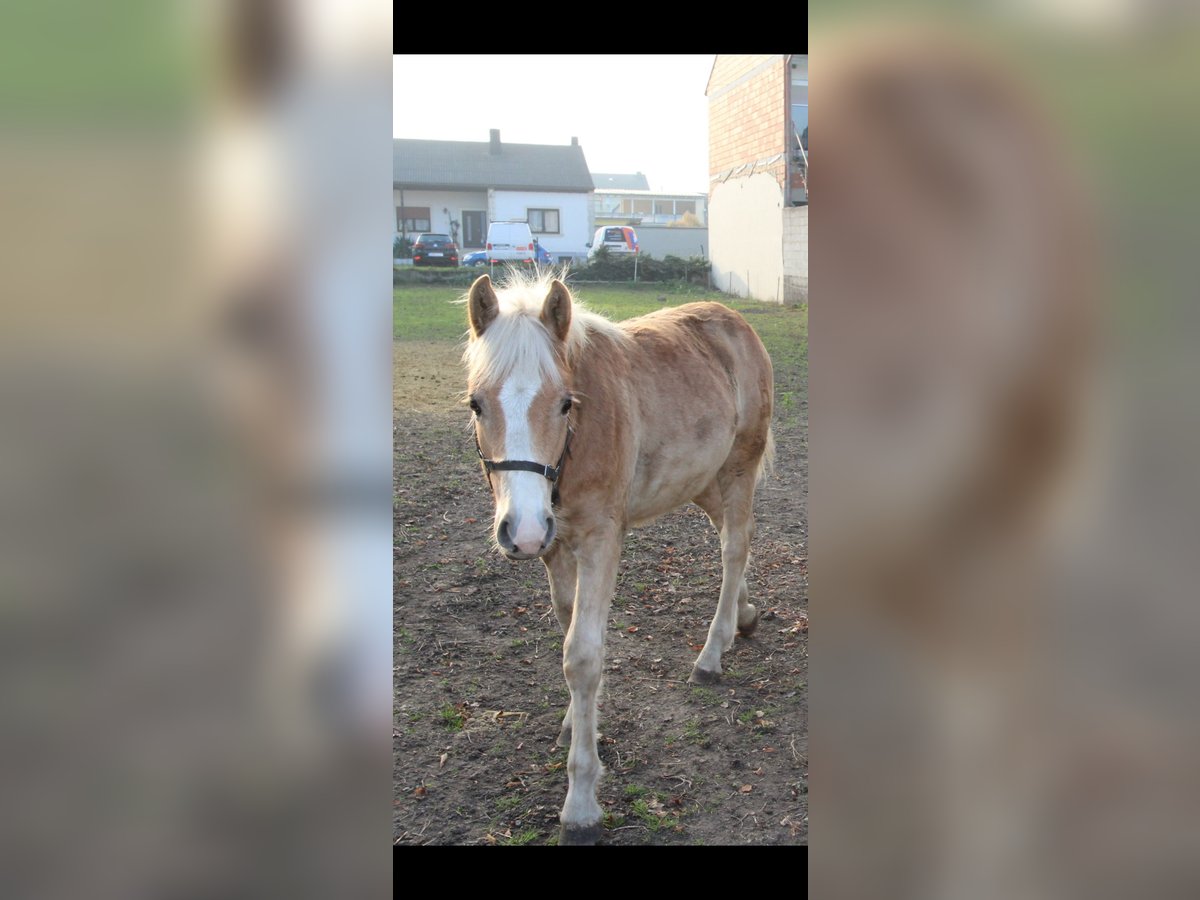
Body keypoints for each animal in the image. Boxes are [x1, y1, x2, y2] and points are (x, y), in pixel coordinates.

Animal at [458, 273, 777, 844]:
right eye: (476, 404)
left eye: (566, 403)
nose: (524, 531)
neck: (577, 444)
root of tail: (734, 320)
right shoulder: (556, 547)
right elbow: (569, 628)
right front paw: (575, 720)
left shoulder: (601, 540)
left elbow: (582, 656)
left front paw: (581, 802)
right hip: (702, 480)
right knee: (733, 534)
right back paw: (744, 616)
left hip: (740, 464)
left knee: (734, 547)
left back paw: (711, 654)